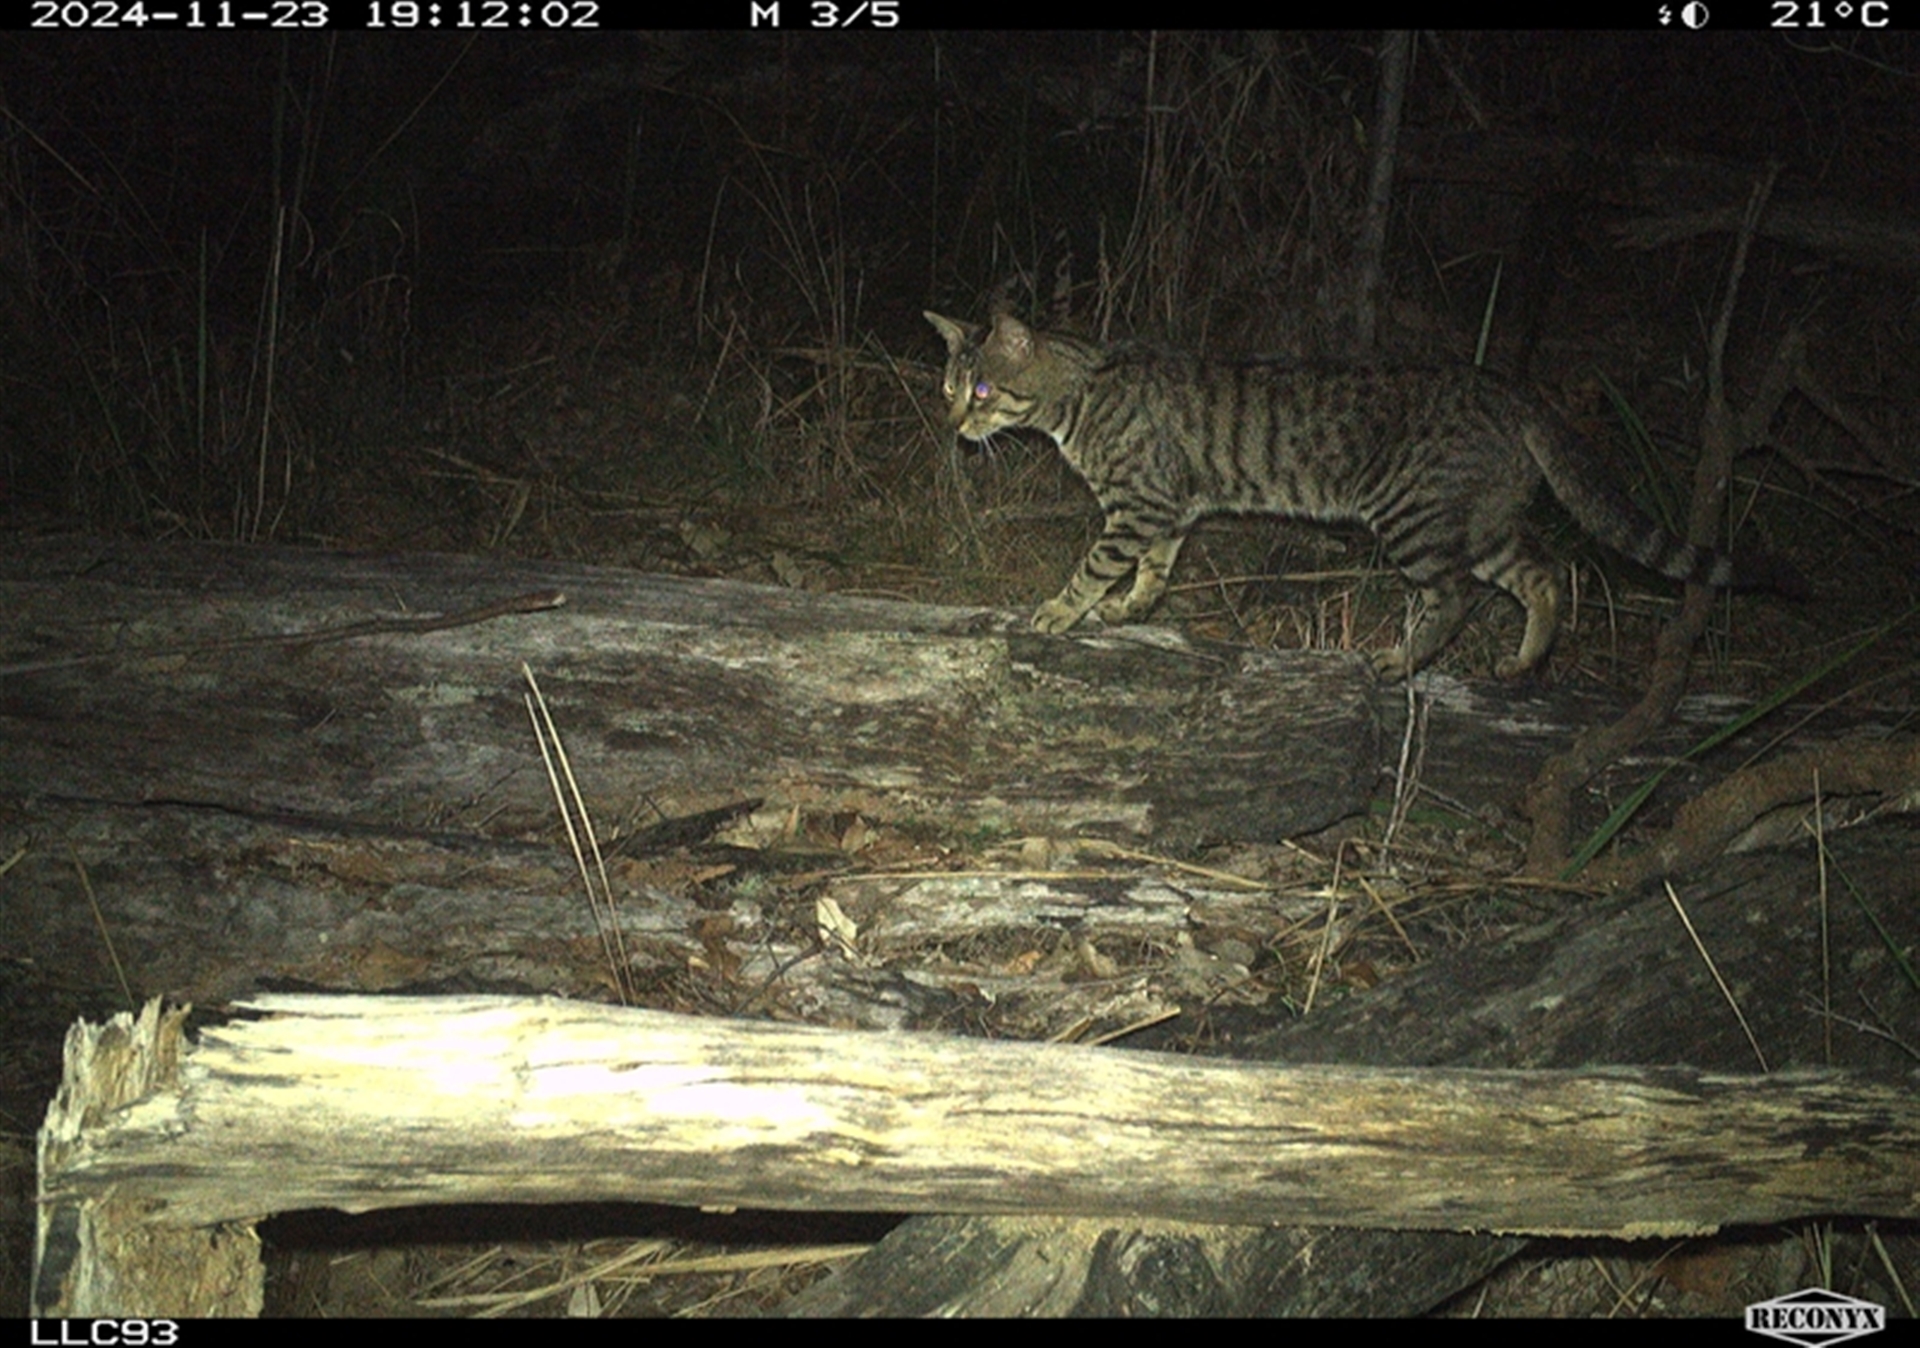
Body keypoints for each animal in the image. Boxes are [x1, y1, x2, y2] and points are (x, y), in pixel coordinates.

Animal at [927, 310, 1752, 679]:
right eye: (947, 387)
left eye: (983, 389)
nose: (954, 423)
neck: (1080, 396)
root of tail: (1511, 390)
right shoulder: (1168, 510)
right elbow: (1155, 571)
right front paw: (1132, 608)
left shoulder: (1138, 506)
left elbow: (1094, 566)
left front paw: (1060, 611)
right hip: (1480, 520)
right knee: (1541, 573)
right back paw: (1523, 662)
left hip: (1416, 520)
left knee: (1456, 596)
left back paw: (1401, 661)